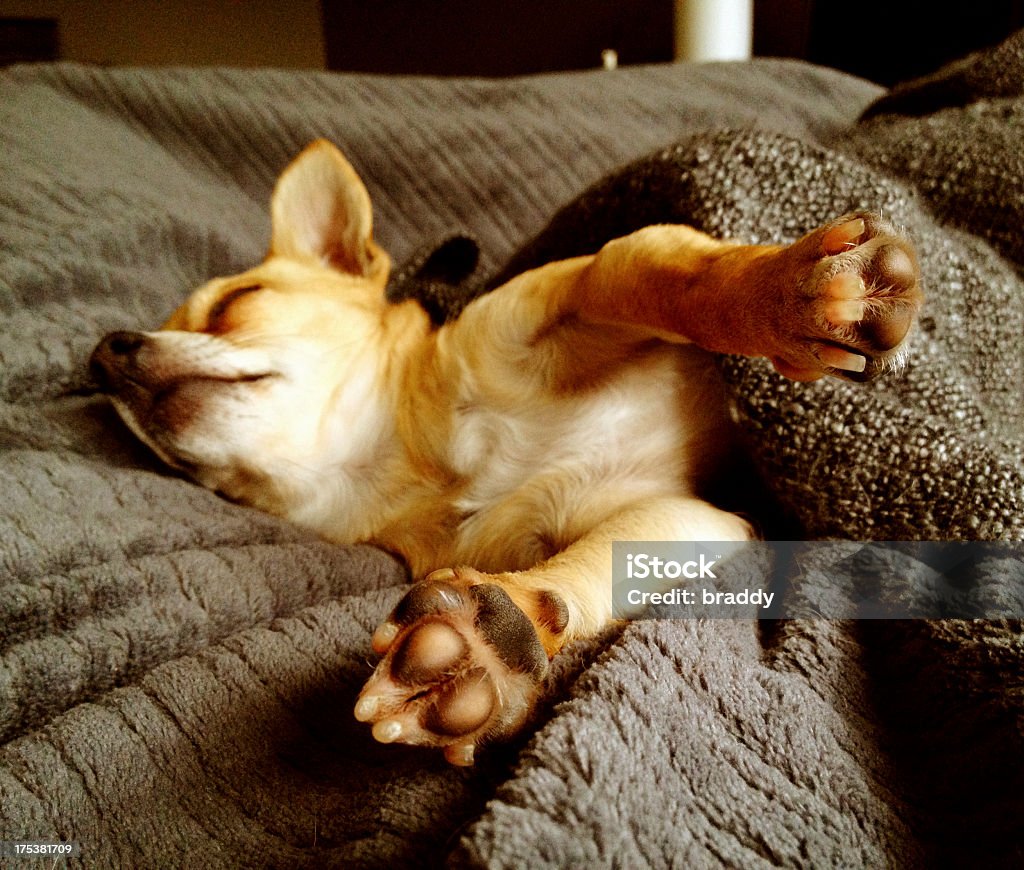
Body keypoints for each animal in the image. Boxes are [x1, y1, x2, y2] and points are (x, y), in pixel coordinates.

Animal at [92, 139, 925, 761]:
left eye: (238, 303)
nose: (104, 355)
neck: (424, 458)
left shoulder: (569, 293)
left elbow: (647, 267)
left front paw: (781, 291)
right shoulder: (696, 520)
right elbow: (588, 571)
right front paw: (498, 637)